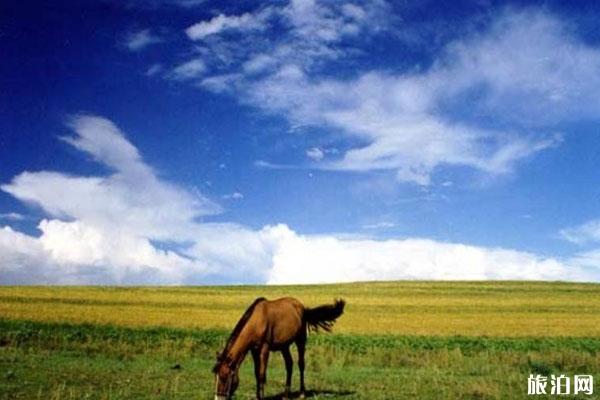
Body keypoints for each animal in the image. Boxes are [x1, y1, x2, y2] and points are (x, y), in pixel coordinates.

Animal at [212, 296, 344, 400]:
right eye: (215, 377)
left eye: (224, 377)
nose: (218, 398)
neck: (257, 322)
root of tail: (302, 308)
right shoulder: (254, 350)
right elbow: (256, 373)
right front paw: (257, 396)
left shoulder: (264, 349)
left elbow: (262, 375)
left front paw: (261, 397)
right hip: (284, 346)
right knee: (289, 365)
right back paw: (286, 394)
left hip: (300, 341)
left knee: (301, 364)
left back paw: (302, 393)